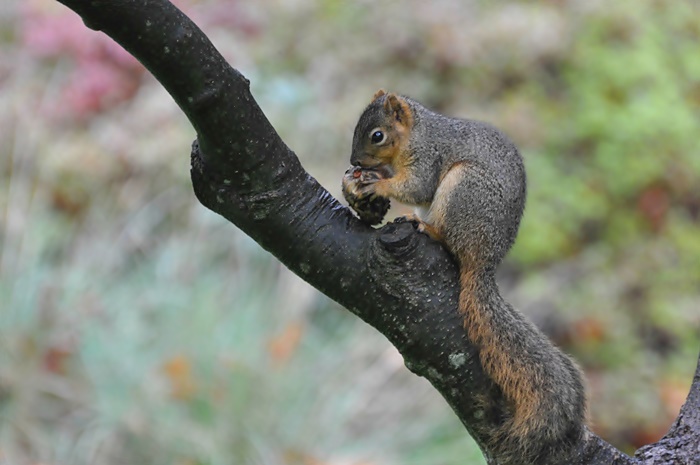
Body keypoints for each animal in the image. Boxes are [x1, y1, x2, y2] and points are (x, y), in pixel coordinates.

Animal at [342, 89, 588, 462]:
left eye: (377, 135)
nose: (355, 162)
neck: (417, 133)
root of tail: (483, 261)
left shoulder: (428, 158)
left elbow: (416, 188)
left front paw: (378, 184)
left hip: (464, 190)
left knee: (445, 235)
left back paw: (426, 227)